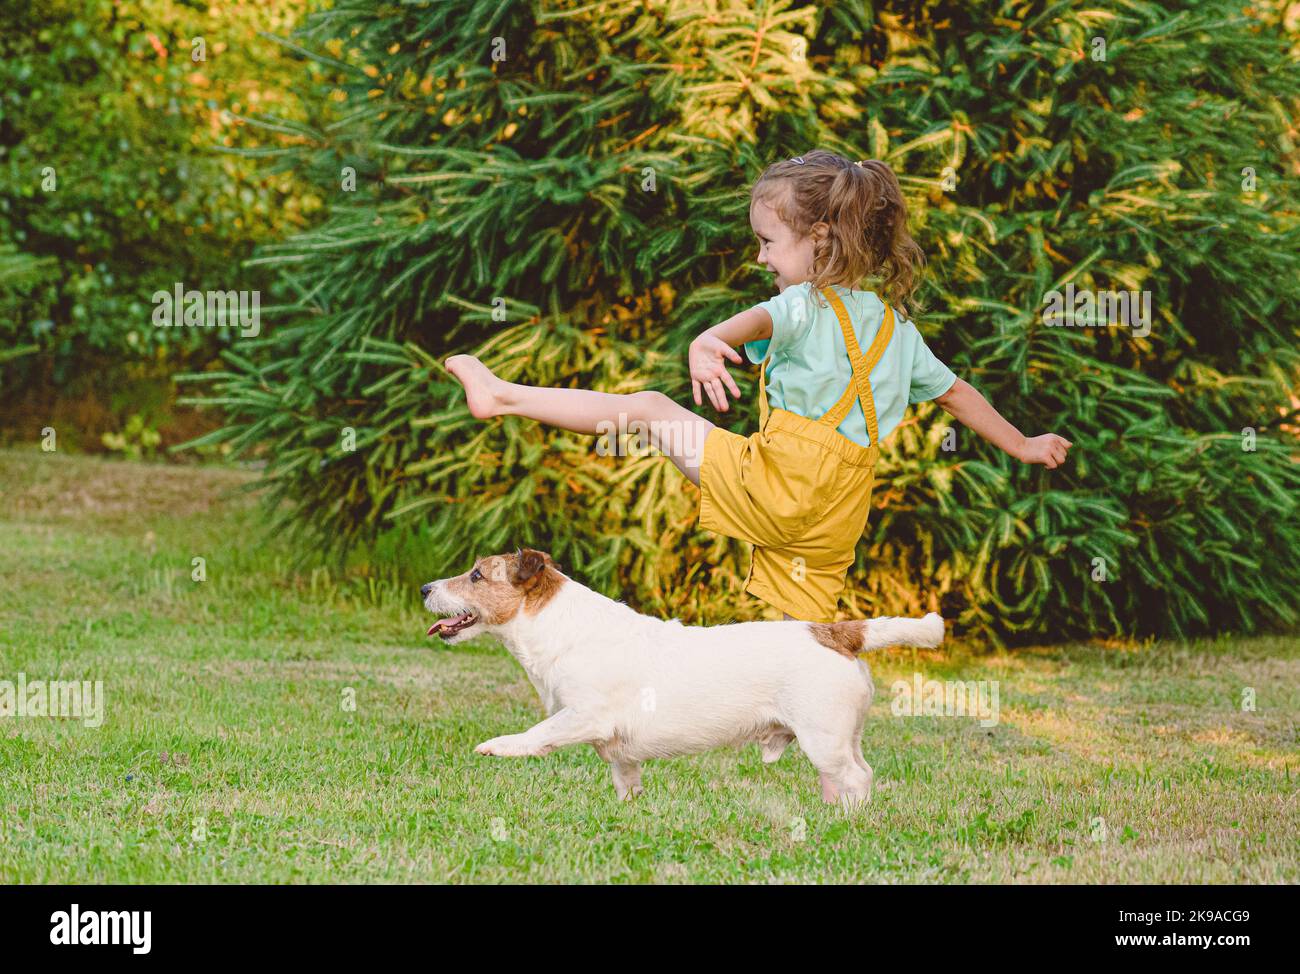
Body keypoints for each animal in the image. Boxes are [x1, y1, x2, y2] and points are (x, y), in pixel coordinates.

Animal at [423, 546, 946, 806]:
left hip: (824, 739)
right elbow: (626, 784)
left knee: (857, 777)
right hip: (842, 736)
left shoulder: (585, 716)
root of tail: (838, 633)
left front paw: (499, 746)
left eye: (476, 575)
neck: (557, 625)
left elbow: (537, 734)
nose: (426, 587)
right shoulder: (620, 755)